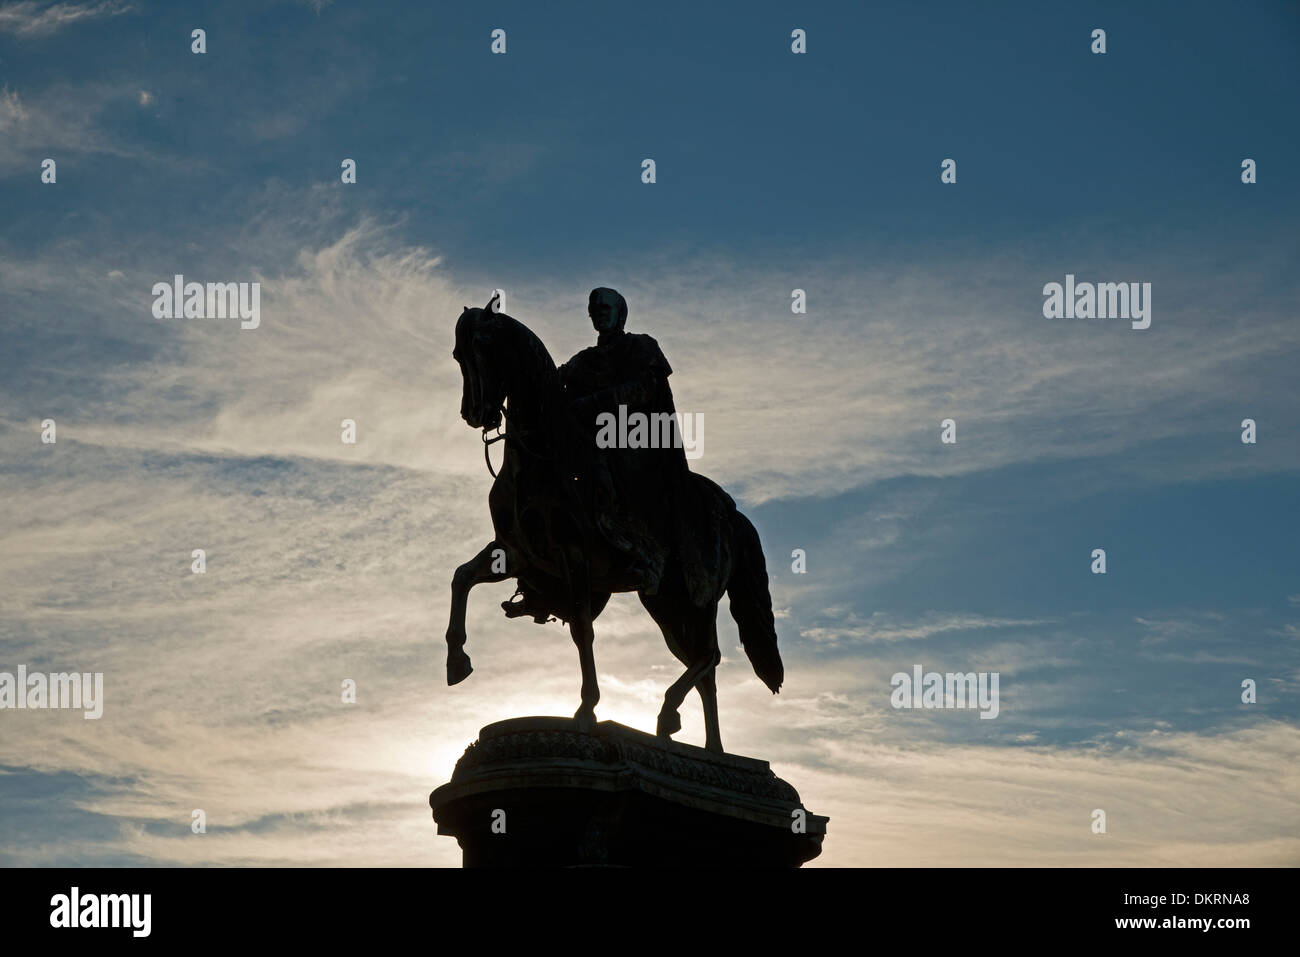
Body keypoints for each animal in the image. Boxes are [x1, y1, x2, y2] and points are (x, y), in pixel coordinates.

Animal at [444, 300, 780, 754]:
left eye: (485, 346)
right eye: (458, 355)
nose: (474, 413)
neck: (542, 455)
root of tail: (732, 514)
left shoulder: (575, 555)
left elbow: (583, 629)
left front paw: (587, 709)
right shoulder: (515, 553)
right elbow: (461, 577)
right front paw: (456, 660)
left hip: (694, 597)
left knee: (709, 656)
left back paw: (670, 714)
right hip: (668, 606)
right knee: (704, 667)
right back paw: (712, 748)